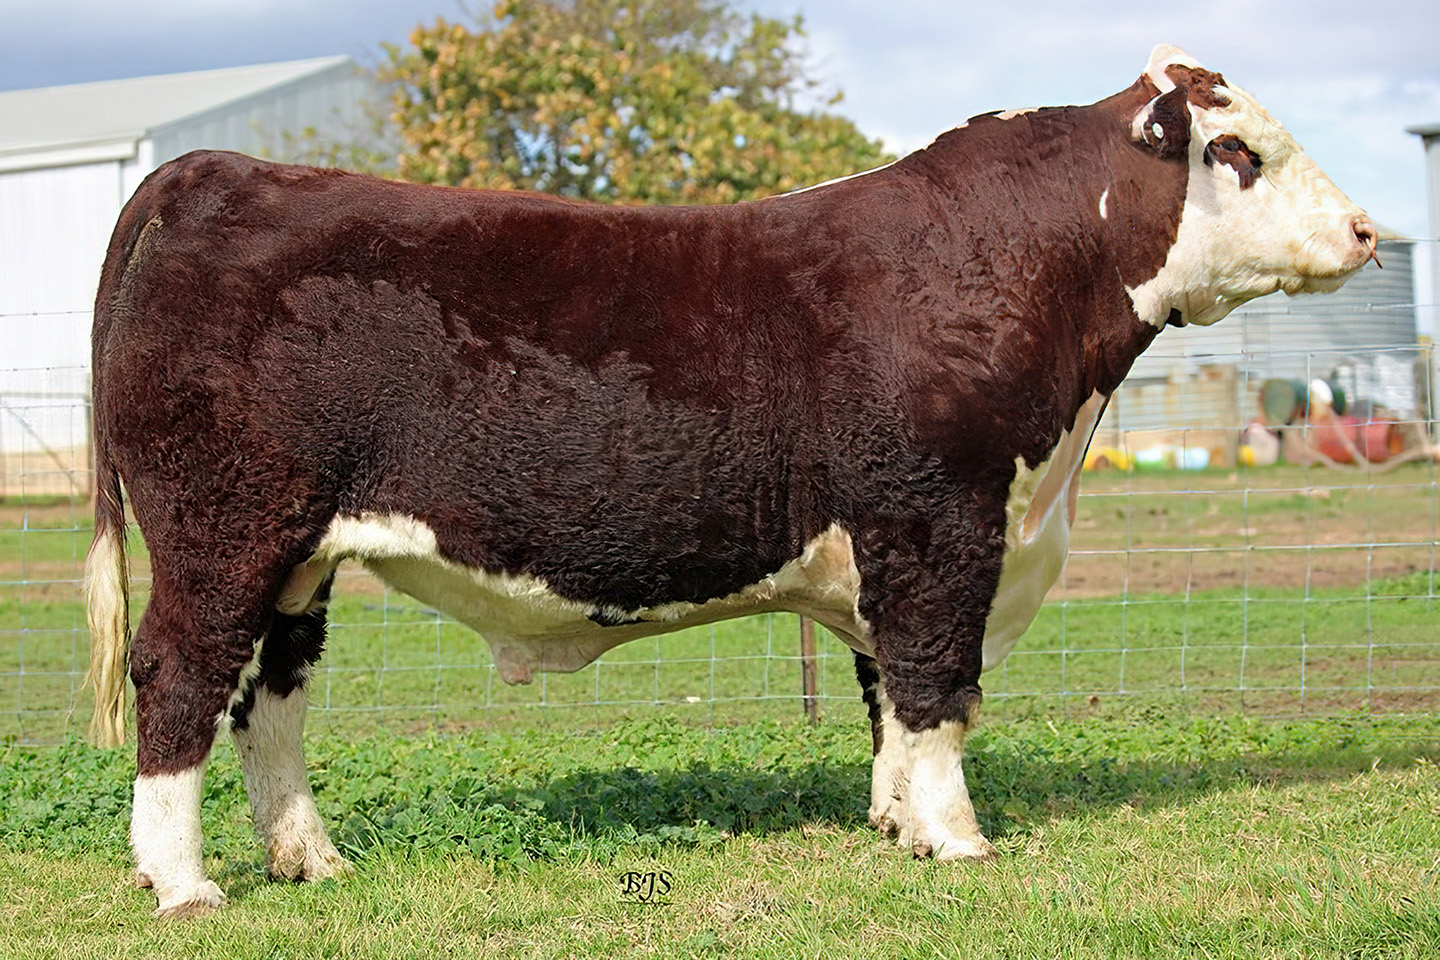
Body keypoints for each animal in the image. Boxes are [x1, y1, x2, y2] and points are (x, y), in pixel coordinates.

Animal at [84, 44, 1376, 917]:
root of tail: (217, 170)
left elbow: (885, 694)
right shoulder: (943, 524)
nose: (1367, 231)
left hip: (297, 554)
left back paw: (310, 857)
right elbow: (937, 689)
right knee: (180, 678)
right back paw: (182, 883)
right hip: (222, 529)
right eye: (1238, 153)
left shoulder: (892, 542)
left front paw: (897, 825)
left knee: (272, 696)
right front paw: (957, 841)